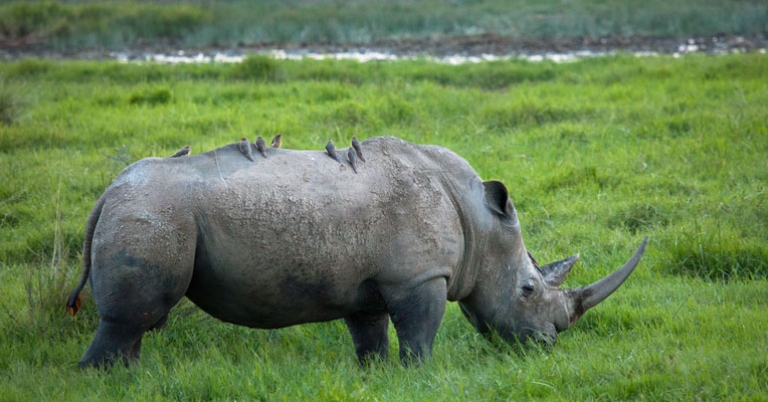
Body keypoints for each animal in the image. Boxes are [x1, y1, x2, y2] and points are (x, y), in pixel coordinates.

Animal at [67, 136, 647, 368]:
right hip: (154, 210)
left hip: (147, 207)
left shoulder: (369, 282)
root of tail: (108, 192)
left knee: (137, 322)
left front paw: (377, 375)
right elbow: (419, 334)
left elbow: (371, 335)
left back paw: (132, 379)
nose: (546, 344)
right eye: (526, 289)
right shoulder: (421, 276)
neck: (478, 222)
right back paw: (104, 378)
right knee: (131, 317)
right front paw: (419, 376)